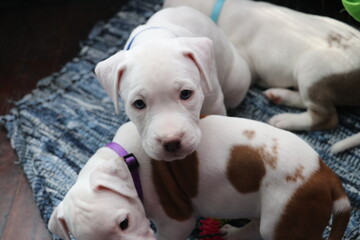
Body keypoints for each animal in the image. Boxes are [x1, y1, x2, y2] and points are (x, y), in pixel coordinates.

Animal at [49, 115, 350, 239]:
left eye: (124, 222)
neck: (126, 159)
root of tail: (326, 176)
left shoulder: (176, 223)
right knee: (254, 228)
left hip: (287, 224)